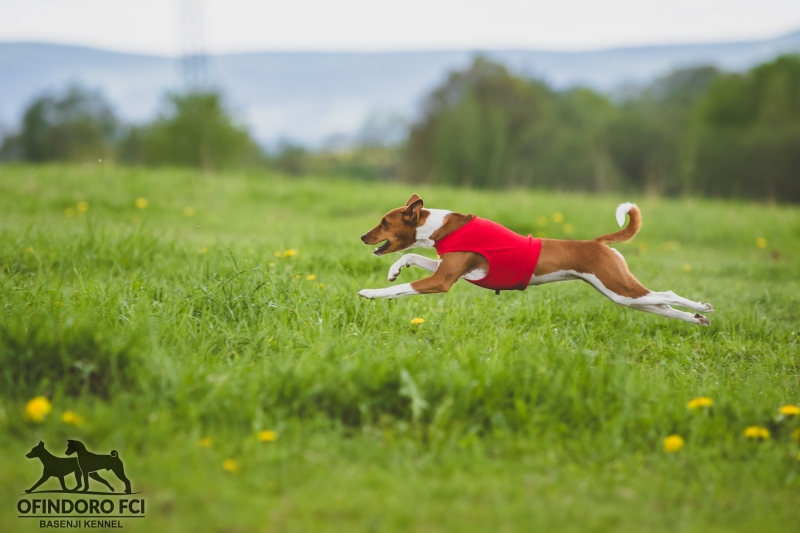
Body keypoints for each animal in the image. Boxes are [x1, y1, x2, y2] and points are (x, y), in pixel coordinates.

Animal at [360, 194, 716, 324]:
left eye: (384, 222)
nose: (363, 237)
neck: (443, 226)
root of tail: (598, 242)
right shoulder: (451, 270)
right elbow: (411, 255)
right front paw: (395, 269)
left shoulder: (443, 280)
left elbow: (400, 288)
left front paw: (371, 292)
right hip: (622, 295)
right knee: (662, 305)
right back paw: (697, 318)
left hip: (619, 286)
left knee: (667, 294)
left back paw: (703, 306)